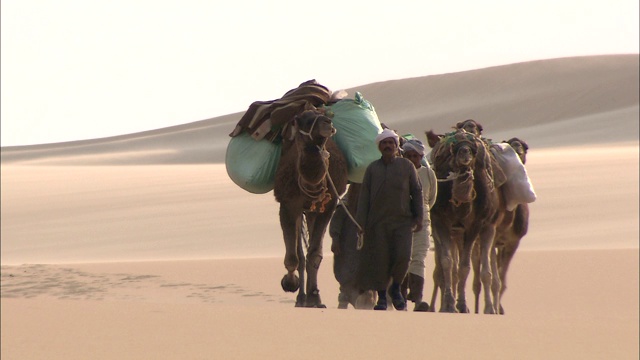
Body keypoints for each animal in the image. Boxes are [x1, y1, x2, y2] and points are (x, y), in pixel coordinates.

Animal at [272, 109, 348, 306]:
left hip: (313, 211)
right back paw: (300, 298)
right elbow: (293, 256)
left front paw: (315, 298)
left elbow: (314, 254)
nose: (328, 123)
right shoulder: (288, 205)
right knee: (299, 253)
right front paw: (290, 283)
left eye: (325, 116)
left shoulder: (328, 207)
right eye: (304, 120)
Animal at [424, 129, 504, 312]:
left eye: (473, 150)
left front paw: (461, 304)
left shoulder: (475, 226)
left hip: (485, 228)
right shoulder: (440, 222)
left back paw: (489, 308)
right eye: (454, 148)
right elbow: (447, 262)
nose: (464, 152)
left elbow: (465, 267)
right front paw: (448, 304)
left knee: (484, 268)